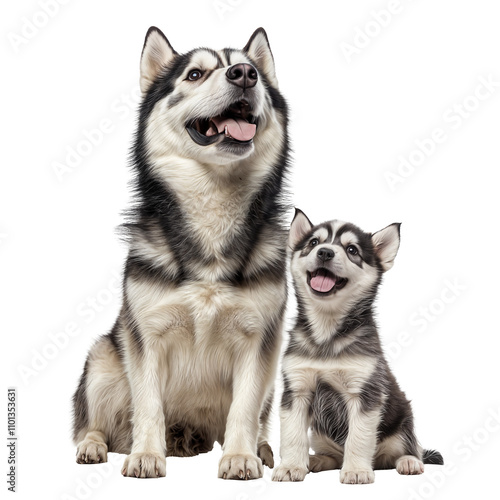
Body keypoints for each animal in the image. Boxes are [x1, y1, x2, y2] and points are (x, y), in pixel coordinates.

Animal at [71, 27, 290, 480]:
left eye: (253, 70)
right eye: (194, 74)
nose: (245, 75)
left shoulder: (260, 340)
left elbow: (245, 407)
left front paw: (240, 456)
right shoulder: (146, 338)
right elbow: (148, 404)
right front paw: (146, 455)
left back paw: (257, 448)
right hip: (103, 357)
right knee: (95, 420)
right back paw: (95, 445)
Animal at [274, 209, 442, 482]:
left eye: (352, 249)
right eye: (314, 242)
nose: (325, 252)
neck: (327, 332)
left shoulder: (365, 394)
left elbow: (359, 438)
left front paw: (356, 471)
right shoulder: (296, 390)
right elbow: (292, 435)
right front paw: (291, 466)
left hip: (403, 423)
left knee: (404, 450)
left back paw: (408, 462)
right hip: (320, 435)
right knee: (333, 455)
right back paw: (316, 460)